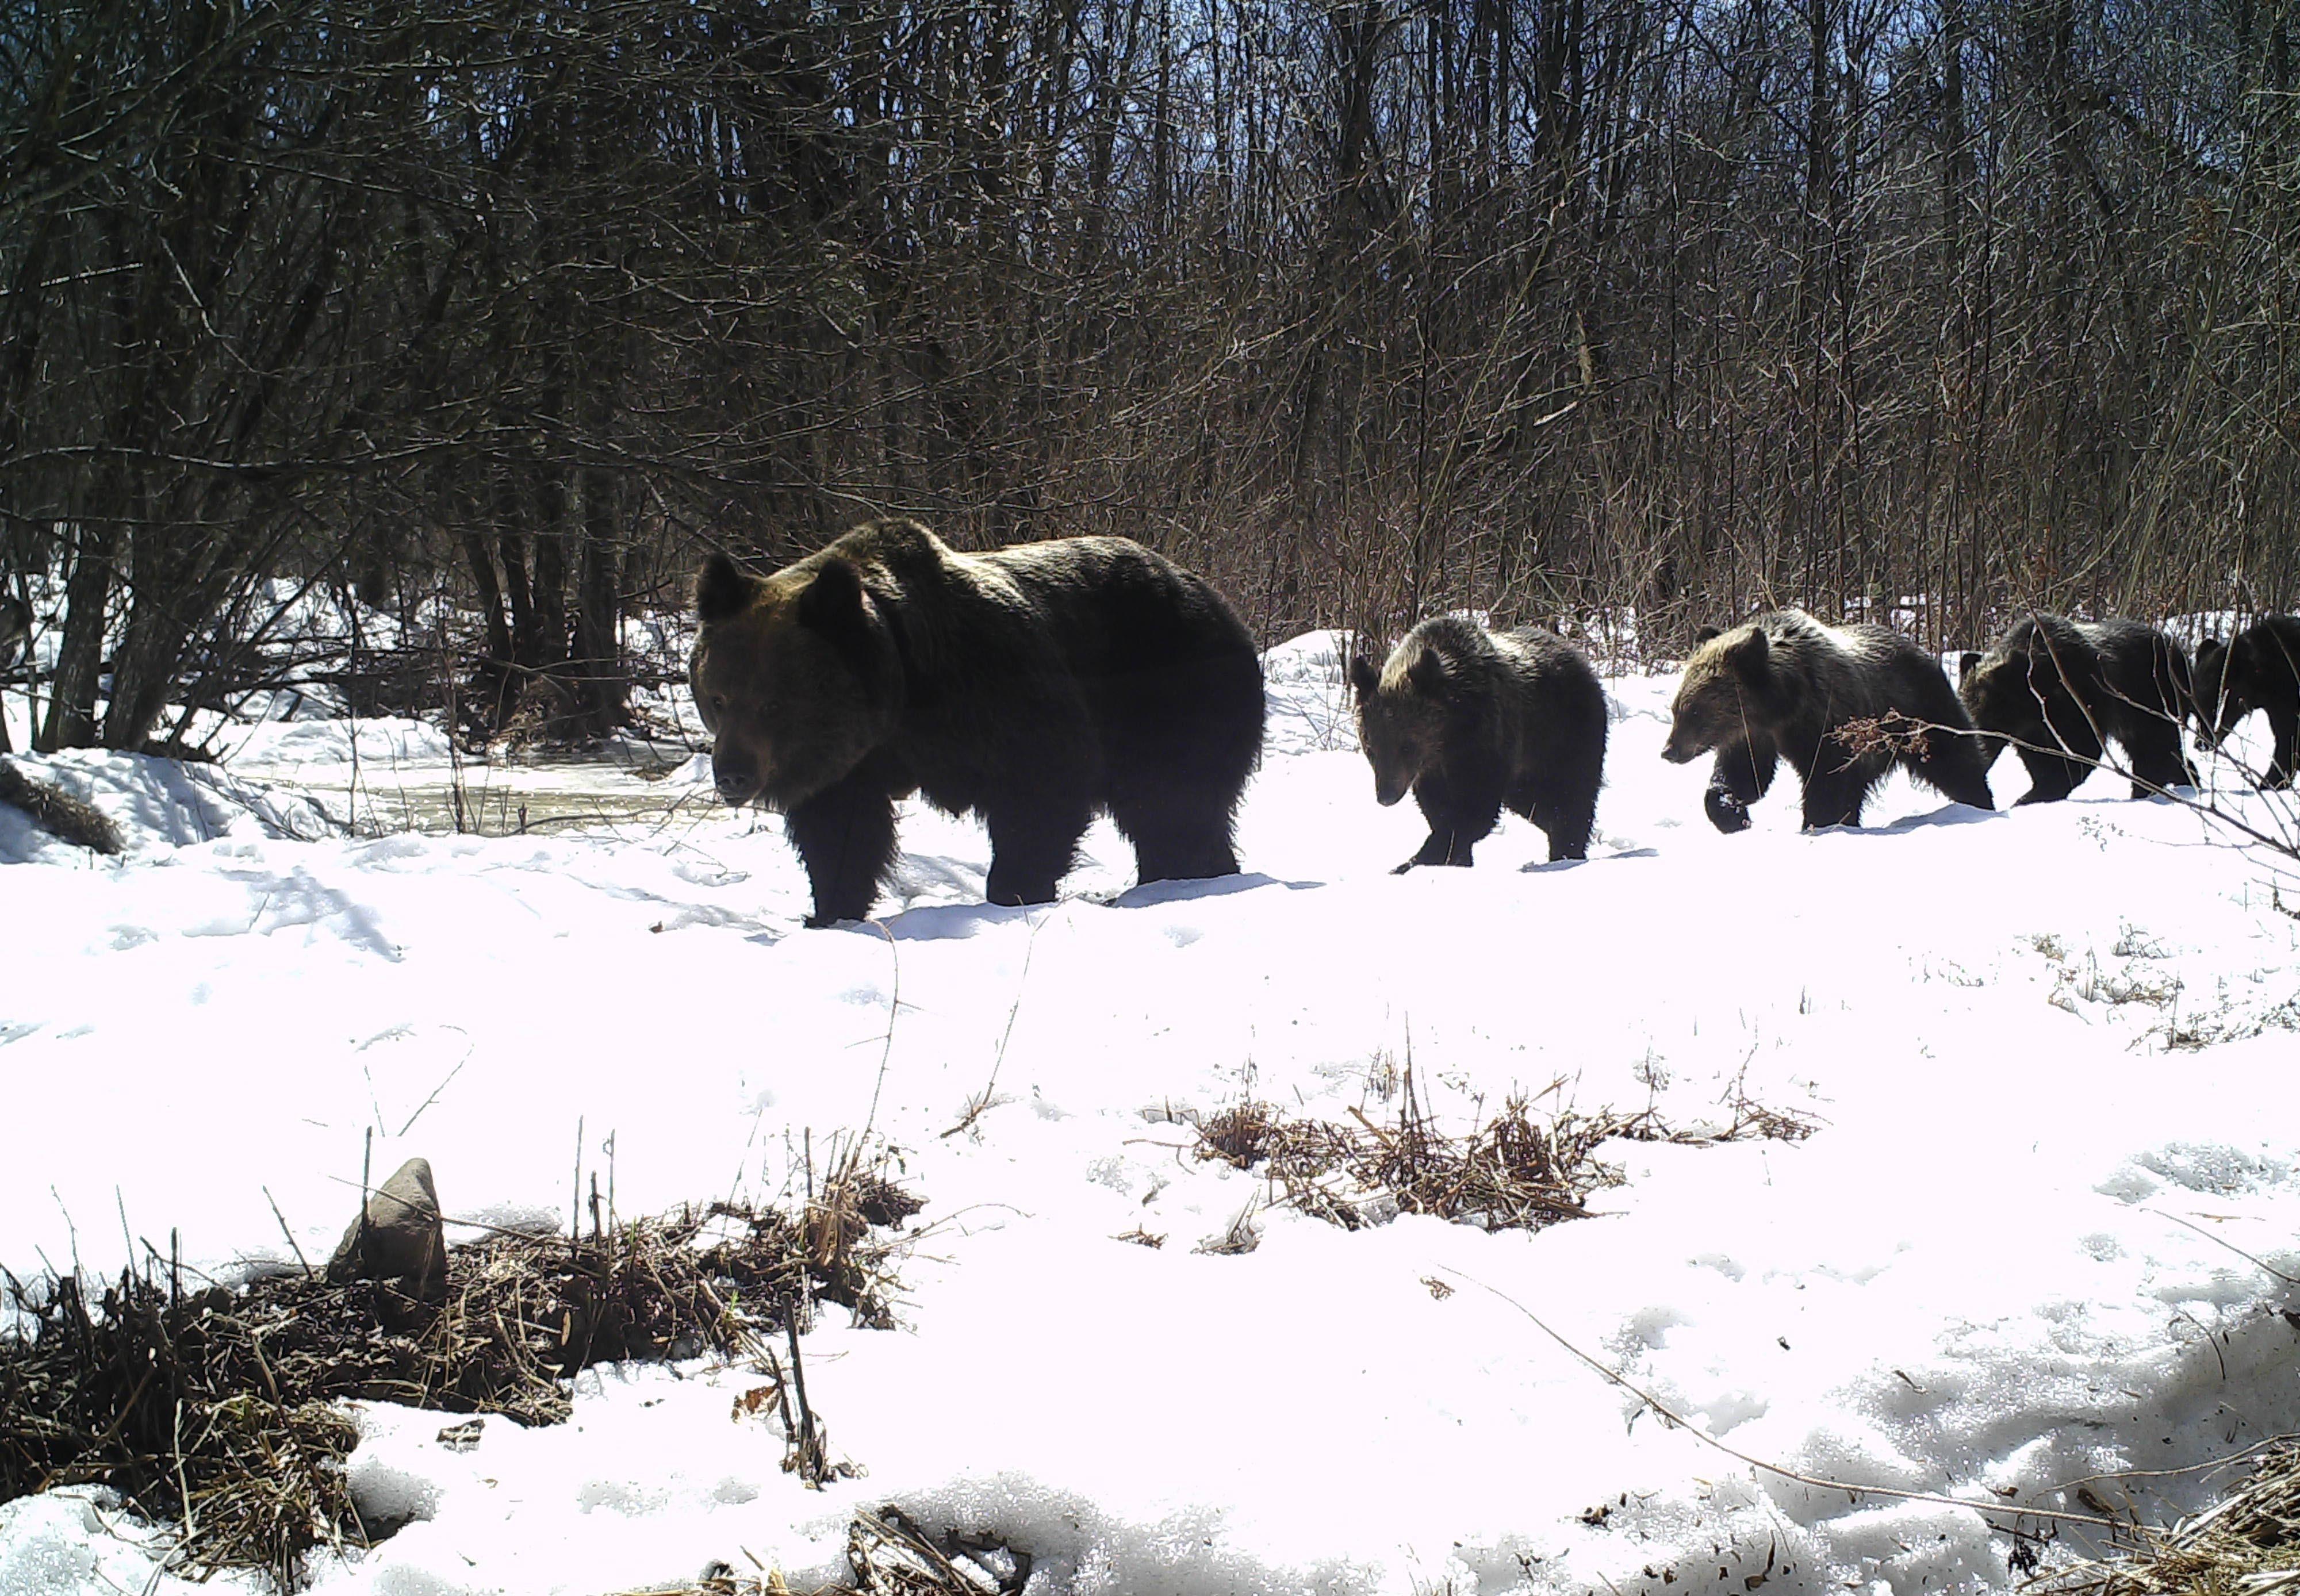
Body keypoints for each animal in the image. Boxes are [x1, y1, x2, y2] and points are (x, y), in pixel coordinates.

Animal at [690, 520, 1270, 934]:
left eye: (773, 703)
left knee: (1175, 803)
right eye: (718, 697)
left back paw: (1187, 876)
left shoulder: (993, 690)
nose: (732, 775)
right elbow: (841, 834)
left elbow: (1041, 787)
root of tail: (1213, 596)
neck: (901, 691)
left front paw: (1014, 889)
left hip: (1172, 691)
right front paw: (828, 911)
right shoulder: (851, 763)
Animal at [1343, 621, 1601, 874]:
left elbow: (1474, 811)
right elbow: (1439, 811)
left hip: (1562, 737)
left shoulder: (1484, 743)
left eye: (1406, 746)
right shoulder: (1432, 771)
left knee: (1570, 799)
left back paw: (1567, 852)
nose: (1386, 795)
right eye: (1371, 746)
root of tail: (1579, 657)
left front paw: (1421, 858)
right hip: (1525, 773)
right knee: (1541, 807)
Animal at [1656, 612, 1996, 832]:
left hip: (1922, 714)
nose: (1669, 750)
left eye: (1695, 711)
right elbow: (1743, 777)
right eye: (1677, 708)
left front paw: (1817, 824)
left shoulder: (1827, 727)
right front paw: (1733, 813)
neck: (1781, 706)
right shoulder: (1752, 736)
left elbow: (1827, 784)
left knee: (1957, 762)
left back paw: (1979, 804)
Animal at [1960, 621, 2190, 805]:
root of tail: (2178, 648)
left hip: (2154, 701)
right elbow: (2039, 760)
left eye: (1984, 719)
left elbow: (2080, 753)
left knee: (2155, 752)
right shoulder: (2031, 730)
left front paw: (2036, 794)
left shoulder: (2079, 703)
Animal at [2190, 616, 2300, 791]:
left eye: (2215, 709)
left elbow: (2289, 743)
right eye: (2195, 710)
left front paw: (2270, 784)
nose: (2200, 743)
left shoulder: (2287, 704)